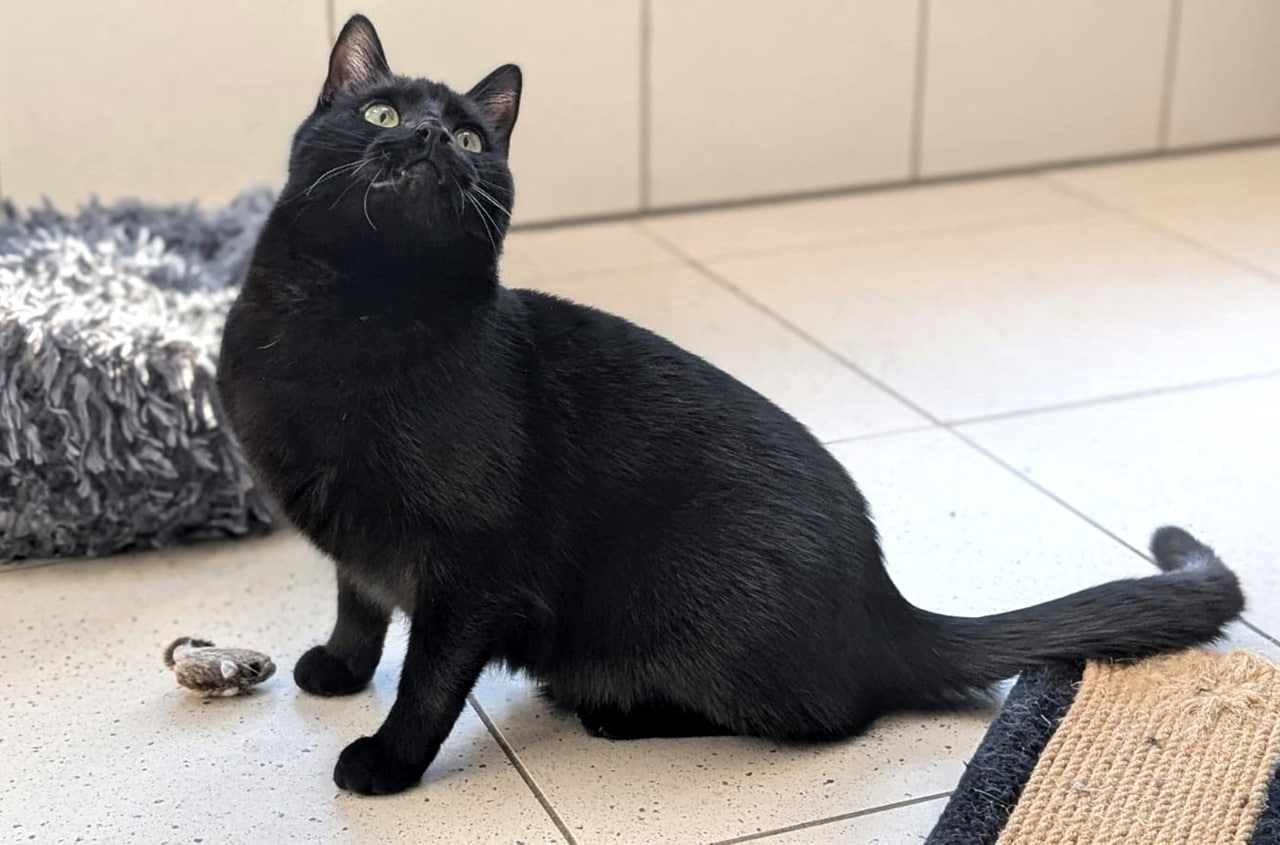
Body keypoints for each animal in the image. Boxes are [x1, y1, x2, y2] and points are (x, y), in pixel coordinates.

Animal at [216, 14, 1245, 796]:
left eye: (472, 138)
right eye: (382, 110)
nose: (430, 138)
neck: (359, 314)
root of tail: (884, 607)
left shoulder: (473, 568)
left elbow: (430, 675)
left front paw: (387, 760)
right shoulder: (357, 530)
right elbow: (359, 602)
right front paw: (339, 669)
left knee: (830, 716)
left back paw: (617, 710)